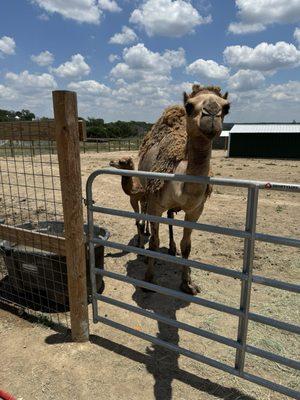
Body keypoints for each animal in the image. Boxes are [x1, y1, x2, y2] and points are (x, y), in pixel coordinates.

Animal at [138, 85, 230, 296]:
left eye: (226, 107)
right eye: (189, 105)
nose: (212, 112)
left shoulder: (195, 210)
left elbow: (187, 246)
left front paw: (188, 284)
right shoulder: (155, 204)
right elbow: (154, 242)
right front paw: (148, 280)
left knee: (171, 217)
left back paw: (172, 249)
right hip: (147, 192)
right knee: (147, 216)